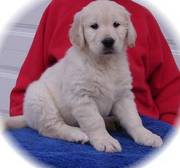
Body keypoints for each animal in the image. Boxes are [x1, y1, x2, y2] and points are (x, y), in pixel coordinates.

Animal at [5, 0, 163, 152]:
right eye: (94, 26)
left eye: (116, 24)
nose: (108, 41)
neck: (104, 64)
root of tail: (27, 117)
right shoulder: (82, 97)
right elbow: (95, 121)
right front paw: (105, 141)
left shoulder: (123, 96)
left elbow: (133, 119)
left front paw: (146, 135)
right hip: (41, 100)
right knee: (49, 128)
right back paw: (77, 134)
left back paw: (111, 122)